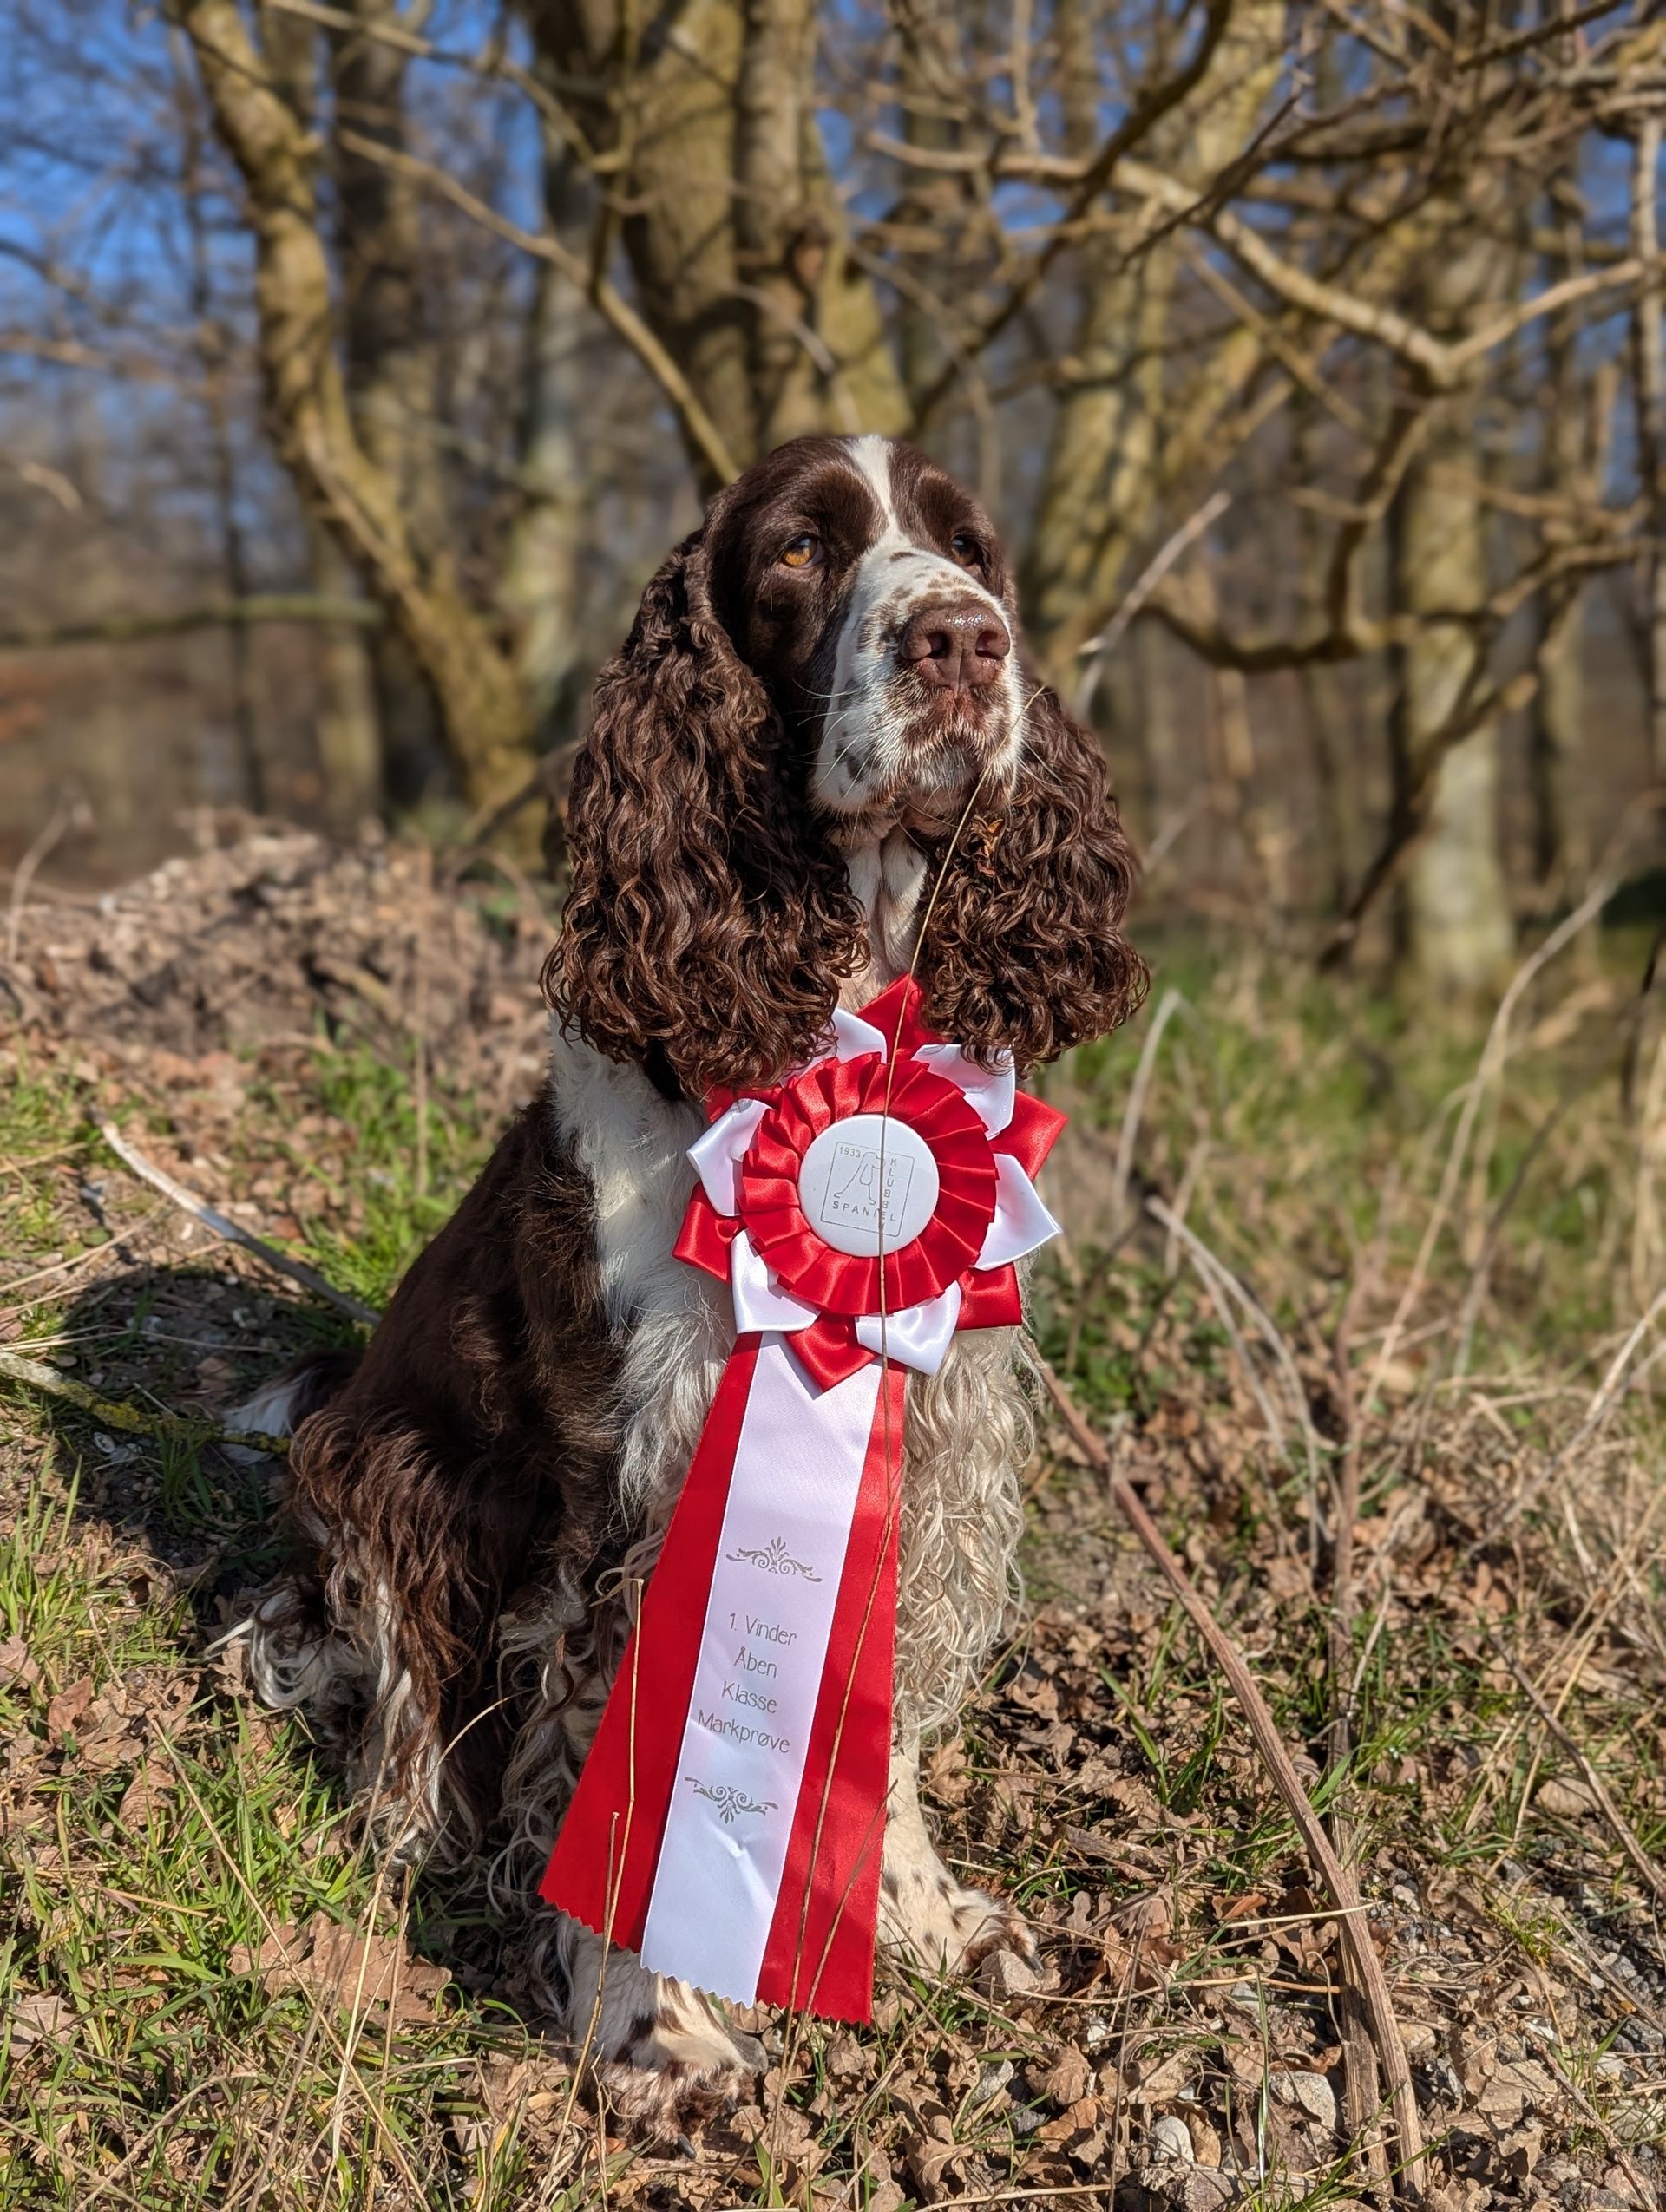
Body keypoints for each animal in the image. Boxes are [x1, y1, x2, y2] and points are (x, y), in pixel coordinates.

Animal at [232, 433, 1146, 2125]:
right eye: (796, 551)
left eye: (971, 544)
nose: (964, 639)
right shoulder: (645, 1478)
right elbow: (623, 1738)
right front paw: (650, 2032)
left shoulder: (912, 1433)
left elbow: (875, 1733)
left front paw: (915, 1917)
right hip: (388, 1462)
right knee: (372, 1678)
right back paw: (409, 1814)